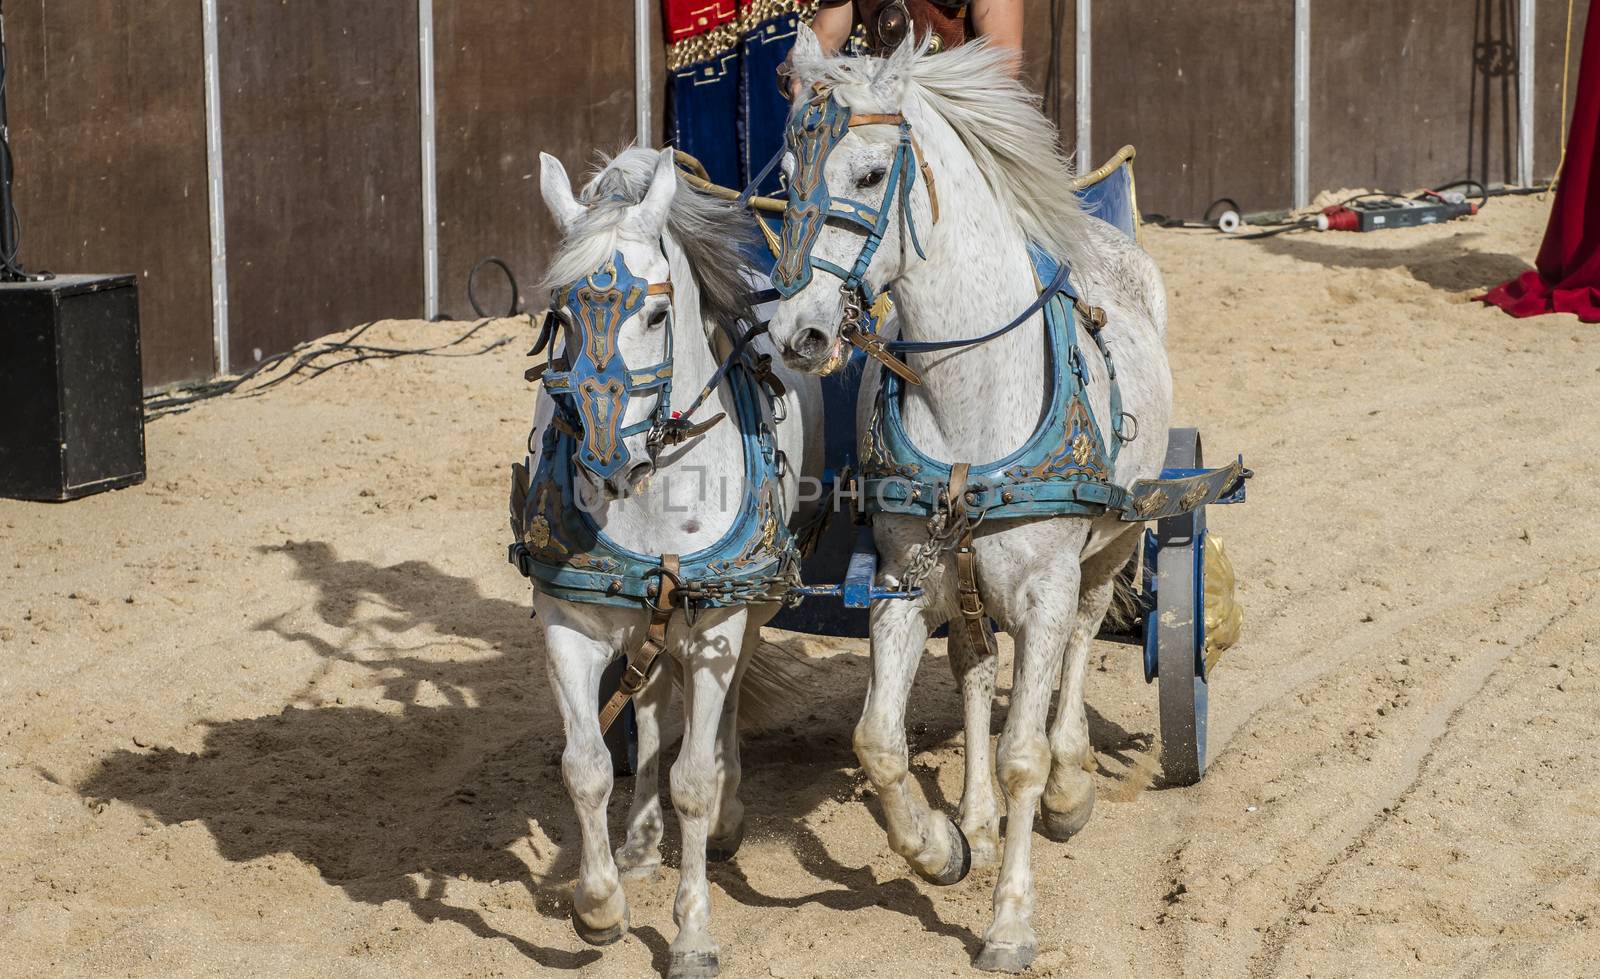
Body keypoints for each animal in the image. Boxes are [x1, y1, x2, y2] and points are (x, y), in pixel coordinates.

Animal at [531, 145, 825, 978]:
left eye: (657, 315)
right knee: (653, 713)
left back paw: (726, 813)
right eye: (559, 315)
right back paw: (637, 842)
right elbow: (588, 763)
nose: (604, 456)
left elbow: (692, 776)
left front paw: (692, 929)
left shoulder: (718, 625)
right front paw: (599, 905)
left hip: (746, 609)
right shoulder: (567, 626)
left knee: (714, 711)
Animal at [768, 30, 1171, 972]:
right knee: (978, 668)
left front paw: (1012, 918)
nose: (796, 332)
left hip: (1112, 541)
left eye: (871, 174)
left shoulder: (1047, 584)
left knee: (1078, 647)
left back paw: (1070, 784)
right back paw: (979, 819)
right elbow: (880, 739)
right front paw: (939, 847)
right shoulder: (907, 578)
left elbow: (1026, 745)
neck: (968, 396)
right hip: (970, 578)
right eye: (789, 173)